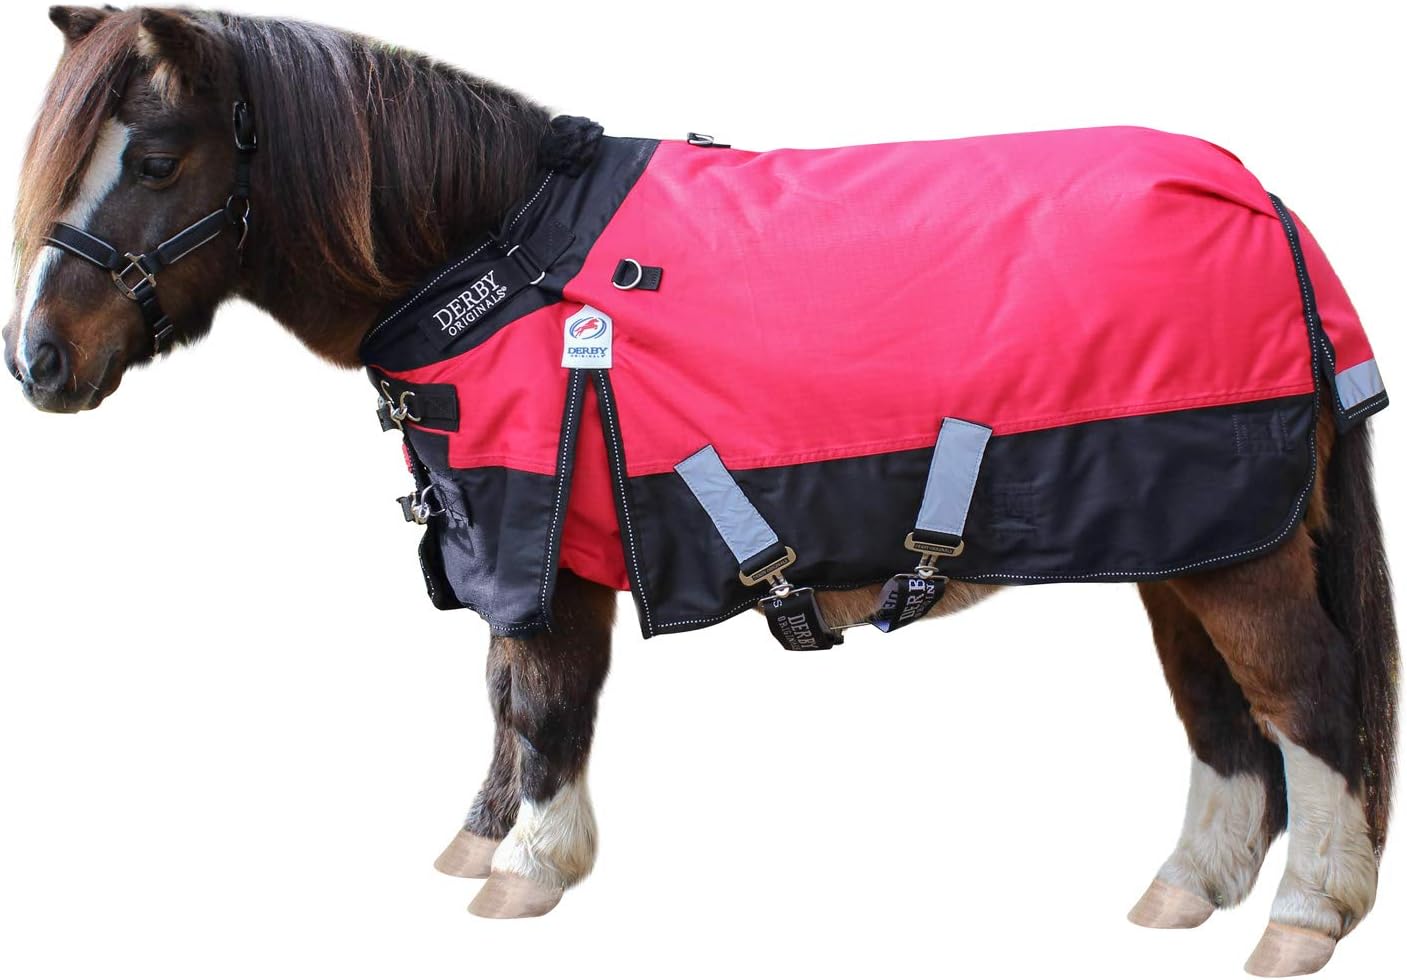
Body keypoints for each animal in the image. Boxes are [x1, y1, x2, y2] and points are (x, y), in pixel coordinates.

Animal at [2, 8, 1396, 976]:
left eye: (158, 157)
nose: (37, 362)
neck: (498, 253)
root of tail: (1263, 200)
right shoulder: (515, 537)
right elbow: (504, 695)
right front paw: (481, 837)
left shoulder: (540, 533)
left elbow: (540, 696)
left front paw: (530, 865)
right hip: (1182, 544)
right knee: (1220, 713)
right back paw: (1187, 884)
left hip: (1234, 550)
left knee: (1304, 695)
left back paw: (1304, 914)